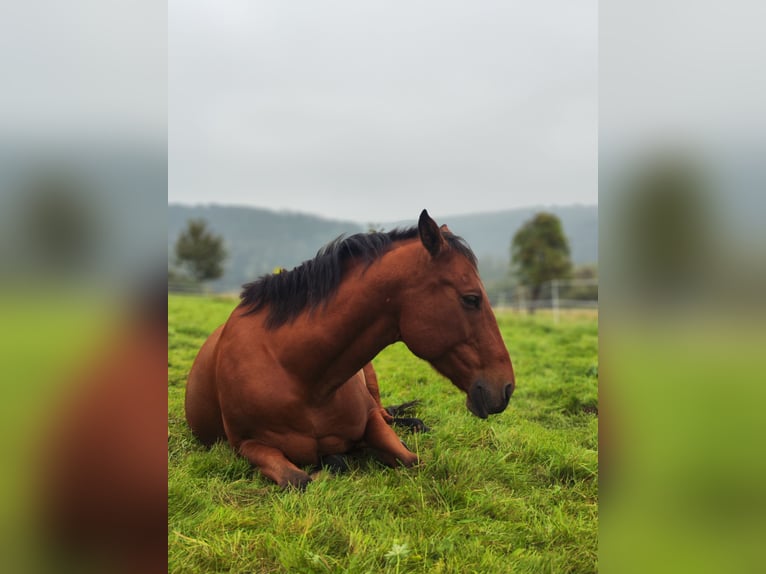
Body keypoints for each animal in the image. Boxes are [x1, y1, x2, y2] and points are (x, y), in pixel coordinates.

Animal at [188, 212, 516, 490]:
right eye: (471, 298)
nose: (507, 387)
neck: (299, 376)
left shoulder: (371, 421)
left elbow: (411, 459)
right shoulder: (247, 446)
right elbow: (299, 480)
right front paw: (332, 460)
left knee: (389, 416)